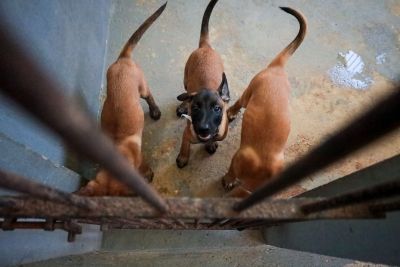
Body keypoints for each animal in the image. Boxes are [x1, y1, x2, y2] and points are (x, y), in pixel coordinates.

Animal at [77, 2, 166, 197]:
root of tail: (122, 59)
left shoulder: (141, 161)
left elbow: (145, 169)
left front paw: (149, 176)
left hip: (142, 87)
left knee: (149, 97)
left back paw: (155, 111)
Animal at [174, 0, 228, 168]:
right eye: (196, 108)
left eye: (217, 108)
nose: (203, 129)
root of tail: (205, 46)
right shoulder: (187, 133)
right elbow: (184, 145)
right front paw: (183, 157)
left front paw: (210, 143)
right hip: (186, 80)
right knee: (186, 95)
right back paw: (182, 105)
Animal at [222, 6, 306, 198]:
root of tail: (277, 68)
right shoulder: (238, 157)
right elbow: (231, 171)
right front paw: (229, 180)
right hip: (249, 92)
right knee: (240, 102)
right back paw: (232, 112)